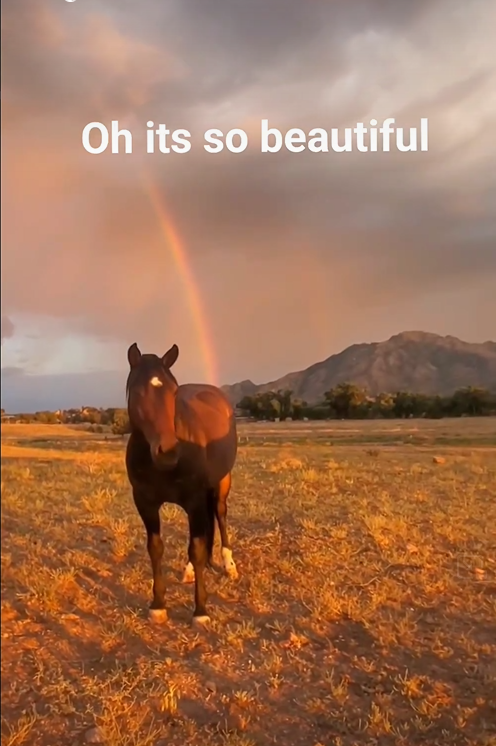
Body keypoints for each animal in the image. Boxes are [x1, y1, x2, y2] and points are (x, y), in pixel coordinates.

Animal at [126, 342, 238, 620]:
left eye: (174, 392)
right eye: (138, 390)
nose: (168, 452)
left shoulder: (195, 501)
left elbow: (196, 549)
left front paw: (200, 610)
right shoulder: (145, 503)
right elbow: (156, 548)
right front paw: (158, 605)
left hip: (222, 483)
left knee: (220, 516)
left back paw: (229, 565)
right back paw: (189, 571)